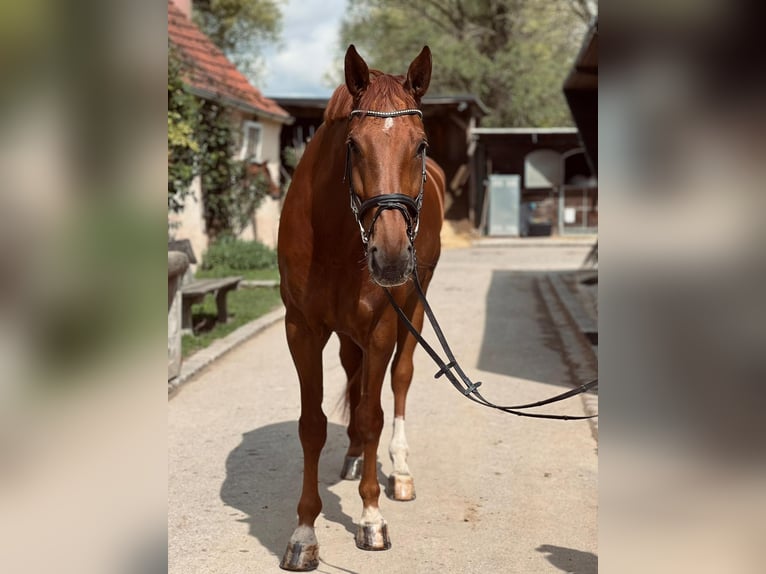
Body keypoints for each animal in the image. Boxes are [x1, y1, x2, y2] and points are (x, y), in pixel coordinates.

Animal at [278, 46, 444, 572]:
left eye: (420, 145)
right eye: (353, 145)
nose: (390, 257)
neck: (335, 235)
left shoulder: (381, 326)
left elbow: (373, 414)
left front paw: (371, 519)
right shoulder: (302, 329)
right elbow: (312, 425)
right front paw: (304, 532)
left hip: (414, 308)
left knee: (400, 380)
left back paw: (400, 472)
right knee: (353, 374)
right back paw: (352, 457)